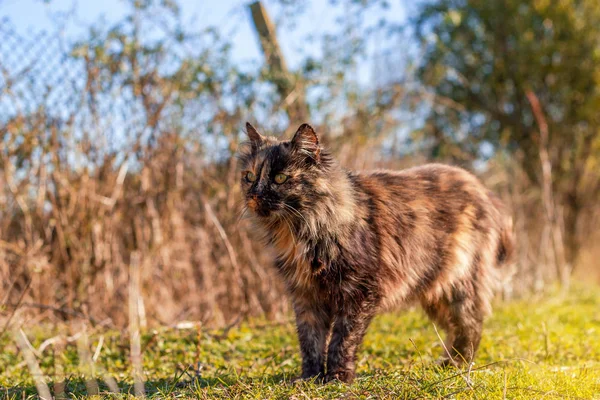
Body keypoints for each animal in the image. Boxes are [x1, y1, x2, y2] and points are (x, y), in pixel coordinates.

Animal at [239, 121, 516, 382]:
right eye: (250, 176)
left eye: (280, 178)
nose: (254, 195)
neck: (299, 230)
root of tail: (483, 189)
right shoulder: (306, 296)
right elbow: (311, 342)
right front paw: (310, 378)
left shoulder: (359, 292)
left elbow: (342, 340)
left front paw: (337, 377)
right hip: (436, 291)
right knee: (455, 327)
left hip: (461, 283)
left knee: (471, 324)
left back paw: (457, 366)